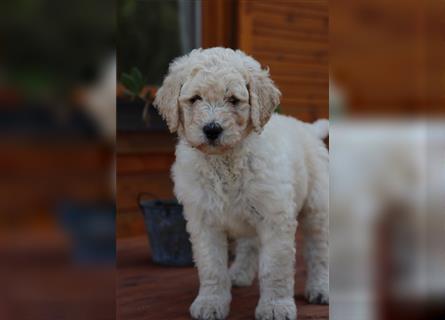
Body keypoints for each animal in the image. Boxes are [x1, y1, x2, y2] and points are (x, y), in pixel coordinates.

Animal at [154, 47, 328, 320]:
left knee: (319, 250)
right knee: (249, 244)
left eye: (234, 100)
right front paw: (211, 302)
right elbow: (211, 266)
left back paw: (321, 288)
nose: (211, 129)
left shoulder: (274, 216)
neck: (224, 161)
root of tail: (309, 129)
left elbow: (275, 269)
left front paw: (276, 307)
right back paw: (239, 275)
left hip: (316, 207)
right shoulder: (204, 220)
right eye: (195, 99)